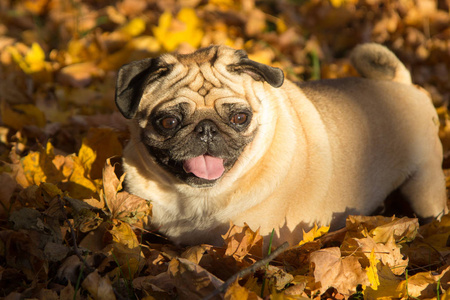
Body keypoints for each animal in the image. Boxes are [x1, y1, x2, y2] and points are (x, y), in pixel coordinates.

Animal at [115, 44, 446, 246]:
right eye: (168, 122)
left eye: (240, 117)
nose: (206, 129)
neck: (196, 199)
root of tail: (402, 84)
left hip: (425, 186)